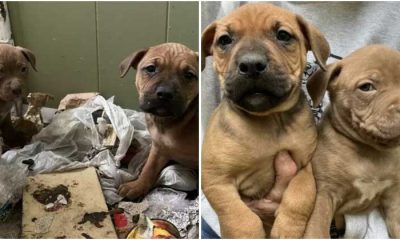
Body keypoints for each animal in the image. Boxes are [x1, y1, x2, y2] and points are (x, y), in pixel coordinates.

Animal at [117, 42, 198, 199]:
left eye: (189, 75)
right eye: (151, 69)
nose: (165, 94)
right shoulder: (159, 148)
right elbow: (149, 169)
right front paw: (137, 186)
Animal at [202, 3, 330, 238]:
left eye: (283, 35)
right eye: (224, 40)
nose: (251, 65)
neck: (269, 118)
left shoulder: (304, 166)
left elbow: (301, 194)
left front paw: (288, 228)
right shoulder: (216, 179)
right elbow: (238, 216)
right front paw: (247, 233)